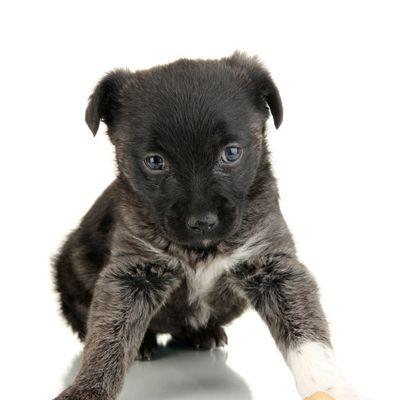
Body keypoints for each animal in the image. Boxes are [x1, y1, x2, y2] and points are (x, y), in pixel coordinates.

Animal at [52, 53, 360, 400]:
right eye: (154, 161)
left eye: (232, 153)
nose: (203, 222)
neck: (201, 250)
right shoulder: (132, 273)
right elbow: (108, 338)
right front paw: (87, 388)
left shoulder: (273, 265)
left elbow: (306, 332)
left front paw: (328, 382)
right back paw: (145, 343)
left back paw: (203, 334)